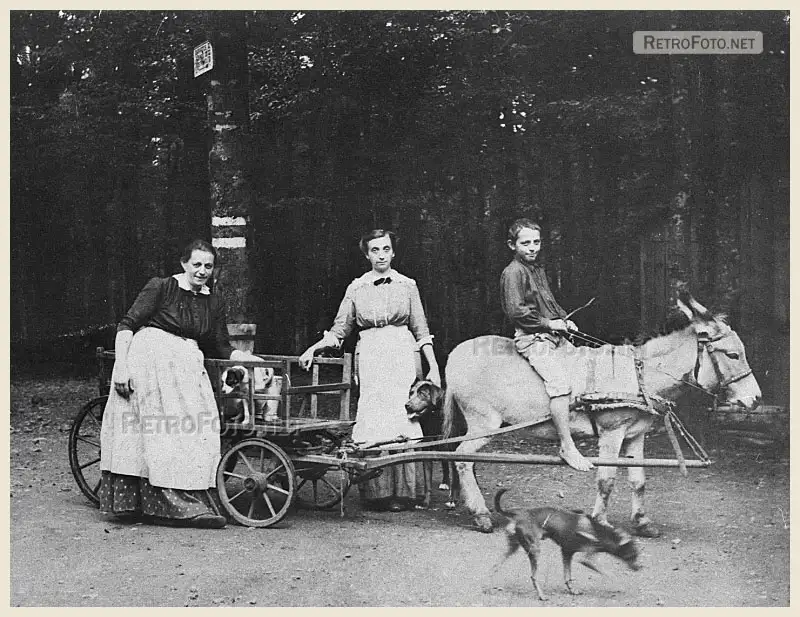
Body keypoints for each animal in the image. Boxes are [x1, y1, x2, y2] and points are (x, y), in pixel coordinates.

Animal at [405, 379, 460, 508]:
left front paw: (452, 500)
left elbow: (455, 478)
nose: (407, 406)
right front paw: (425, 502)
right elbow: (427, 481)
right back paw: (445, 482)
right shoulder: (426, 451)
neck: (434, 416)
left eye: (422, 393)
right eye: (411, 393)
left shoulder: (453, 449)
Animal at [440, 294, 762, 536]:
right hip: (484, 422)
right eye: (733, 355)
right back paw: (481, 515)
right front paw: (600, 523)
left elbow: (638, 479)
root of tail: (455, 353)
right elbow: (606, 479)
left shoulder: (635, 434)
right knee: (461, 458)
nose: (756, 400)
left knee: (463, 459)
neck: (637, 377)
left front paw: (642, 523)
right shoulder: (612, 432)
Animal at [493, 489, 641, 601]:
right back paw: (541, 595)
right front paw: (620, 583)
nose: (639, 568)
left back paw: (491, 584)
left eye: (637, 554)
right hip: (535, 551)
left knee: (495, 566)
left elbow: (567, 576)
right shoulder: (587, 560)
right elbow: (609, 573)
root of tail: (518, 514)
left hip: (514, 547)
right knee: (533, 576)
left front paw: (572, 590)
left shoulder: (567, 552)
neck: (598, 532)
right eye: (631, 554)